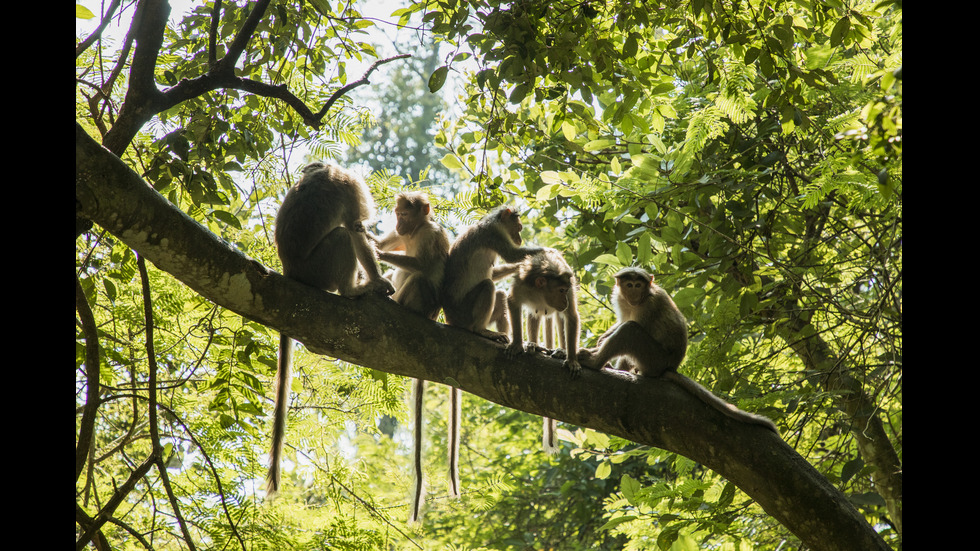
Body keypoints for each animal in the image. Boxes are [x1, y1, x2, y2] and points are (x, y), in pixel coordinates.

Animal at [268, 163, 398, 496]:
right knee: (341, 236)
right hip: (319, 270)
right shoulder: (351, 188)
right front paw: (378, 280)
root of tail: (290, 271)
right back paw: (353, 290)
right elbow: (355, 228)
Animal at [506, 249, 580, 452]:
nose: (564, 299)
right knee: (535, 312)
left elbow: (571, 317)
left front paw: (572, 359)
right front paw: (517, 343)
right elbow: (513, 302)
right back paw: (532, 344)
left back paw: (562, 350)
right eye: (560, 290)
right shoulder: (522, 286)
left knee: (561, 318)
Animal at [580, 268, 776, 436]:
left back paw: (596, 362)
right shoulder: (622, 300)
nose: (634, 293)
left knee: (631, 331)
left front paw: (598, 347)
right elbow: (621, 321)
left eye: (638, 285)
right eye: (629, 285)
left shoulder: (650, 305)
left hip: (654, 359)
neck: (641, 298)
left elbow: (633, 325)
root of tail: (671, 367)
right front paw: (601, 339)